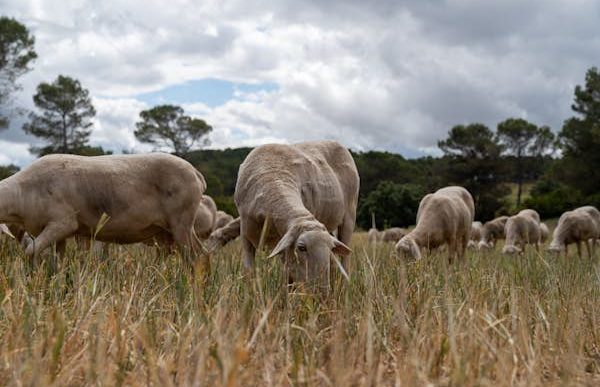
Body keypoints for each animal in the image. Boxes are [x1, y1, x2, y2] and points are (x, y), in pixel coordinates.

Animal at [0, 153, 207, 268]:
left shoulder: (63, 223)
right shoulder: (62, 234)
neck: (22, 193)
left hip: (182, 221)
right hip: (166, 232)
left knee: (198, 256)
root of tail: (197, 174)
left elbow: (30, 251)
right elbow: (59, 259)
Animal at [232, 141, 358, 292]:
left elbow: (288, 273)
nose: (322, 293)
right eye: (301, 248)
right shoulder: (246, 233)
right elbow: (248, 270)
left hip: (350, 214)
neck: (273, 177)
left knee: (345, 260)